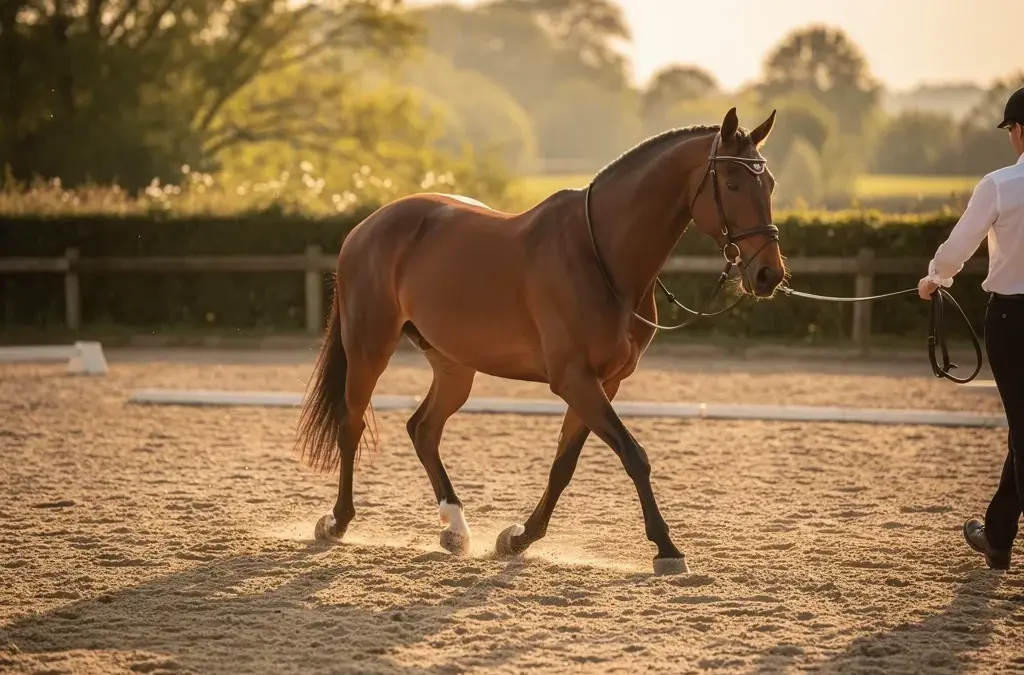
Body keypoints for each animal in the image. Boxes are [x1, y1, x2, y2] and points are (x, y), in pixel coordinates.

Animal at [295, 106, 786, 575]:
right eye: (732, 183)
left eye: (770, 185)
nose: (768, 275)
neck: (600, 255)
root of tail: (364, 229)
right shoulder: (575, 380)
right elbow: (634, 455)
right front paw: (666, 548)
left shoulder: (603, 383)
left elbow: (563, 466)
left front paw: (518, 539)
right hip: (369, 348)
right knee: (351, 425)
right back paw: (338, 522)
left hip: (455, 367)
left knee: (424, 429)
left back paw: (455, 529)